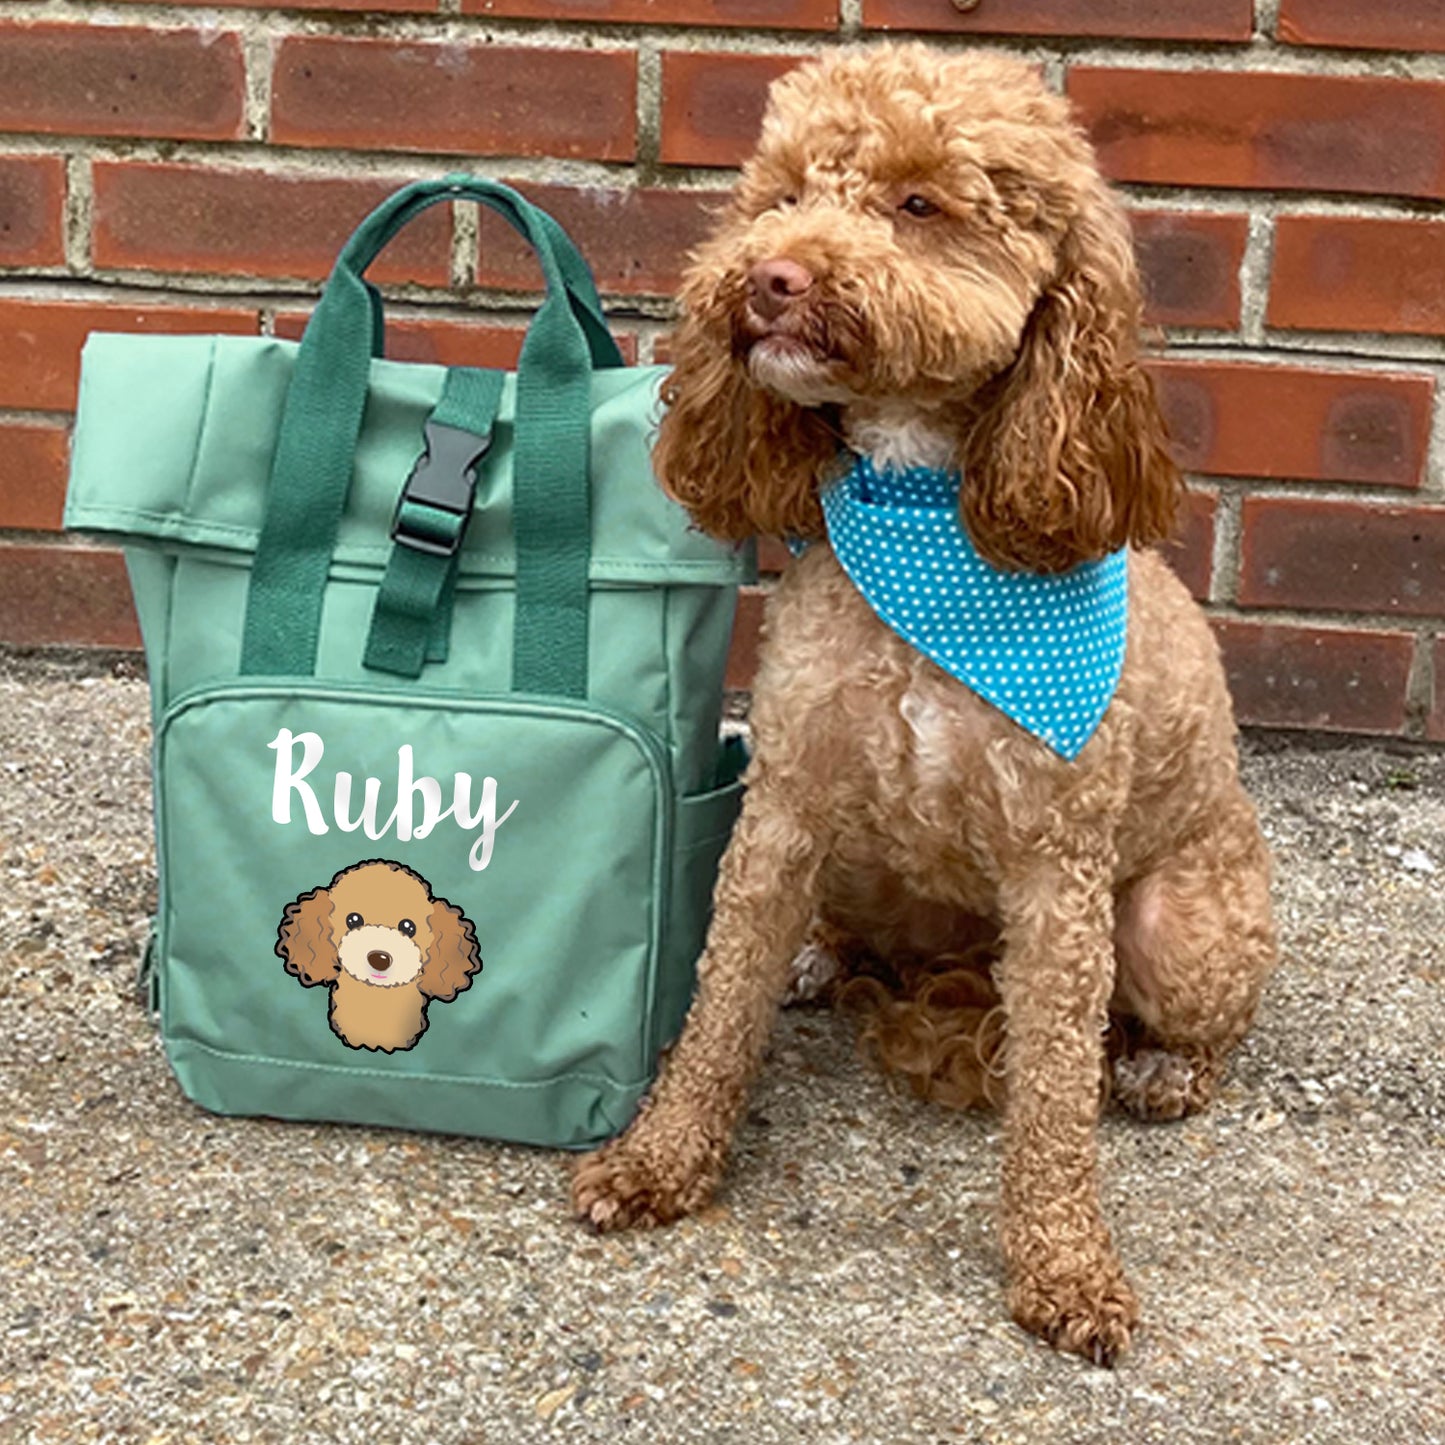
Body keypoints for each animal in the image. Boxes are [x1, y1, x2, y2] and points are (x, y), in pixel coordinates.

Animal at [572, 39, 1277, 1358]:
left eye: (917, 203)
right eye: (782, 192)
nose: (770, 277)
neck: (922, 511)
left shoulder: (1057, 873)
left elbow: (1051, 1096)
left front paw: (1063, 1266)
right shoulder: (784, 803)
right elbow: (717, 1003)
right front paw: (659, 1159)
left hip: (1180, 926)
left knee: (1190, 1026)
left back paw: (1161, 1068)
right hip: (856, 852)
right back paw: (818, 954)